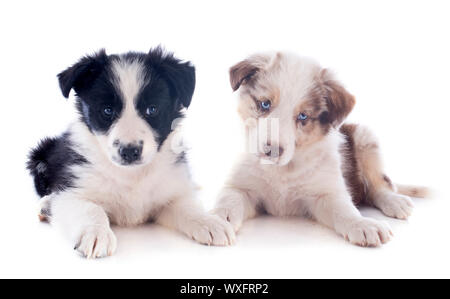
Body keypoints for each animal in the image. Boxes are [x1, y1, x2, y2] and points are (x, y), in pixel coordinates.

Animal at [27, 48, 236, 258]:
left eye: (152, 109)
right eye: (107, 110)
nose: (129, 151)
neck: (132, 175)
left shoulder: (167, 196)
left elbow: (187, 206)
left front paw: (210, 222)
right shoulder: (73, 190)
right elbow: (90, 208)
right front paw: (96, 233)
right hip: (40, 155)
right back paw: (46, 206)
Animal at [213, 52, 428, 248]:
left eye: (303, 116)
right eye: (265, 104)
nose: (271, 151)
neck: (283, 170)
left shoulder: (325, 193)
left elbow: (344, 210)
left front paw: (363, 224)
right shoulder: (242, 187)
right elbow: (228, 200)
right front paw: (216, 221)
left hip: (365, 138)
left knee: (380, 185)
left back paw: (395, 201)